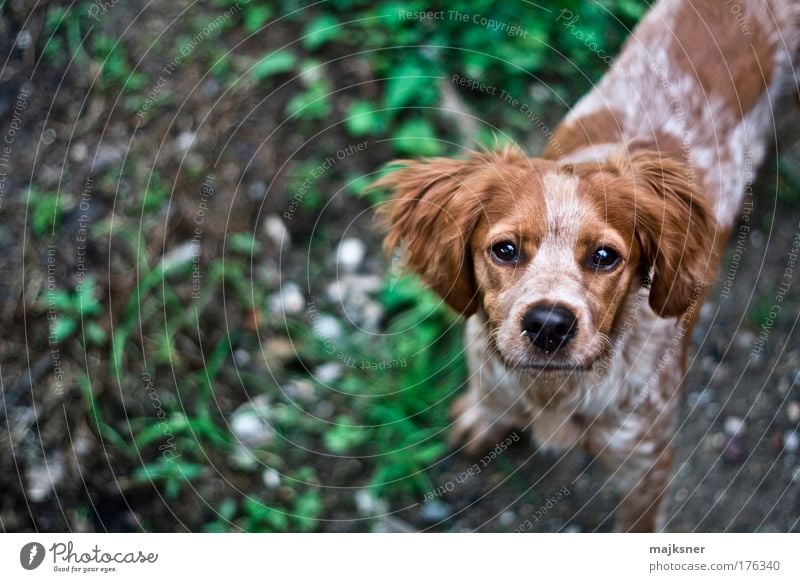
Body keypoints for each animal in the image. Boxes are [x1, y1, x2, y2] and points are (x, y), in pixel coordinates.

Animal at [376, 0, 800, 532]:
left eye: (605, 256)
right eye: (505, 250)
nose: (549, 325)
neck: (551, 392)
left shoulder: (647, 465)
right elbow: (490, 403)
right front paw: (482, 419)